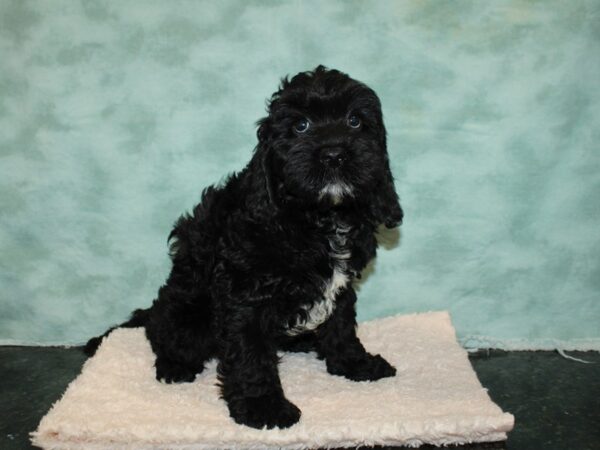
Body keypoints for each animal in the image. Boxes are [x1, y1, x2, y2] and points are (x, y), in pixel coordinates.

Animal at [85, 66, 404, 428]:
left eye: (355, 121)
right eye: (301, 125)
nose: (334, 155)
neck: (317, 218)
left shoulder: (341, 285)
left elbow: (341, 326)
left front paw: (355, 363)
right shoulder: (244, 295)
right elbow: (251, 354)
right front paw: (262, 405)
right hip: (187, 312)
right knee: (164, 334)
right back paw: (174, 365)